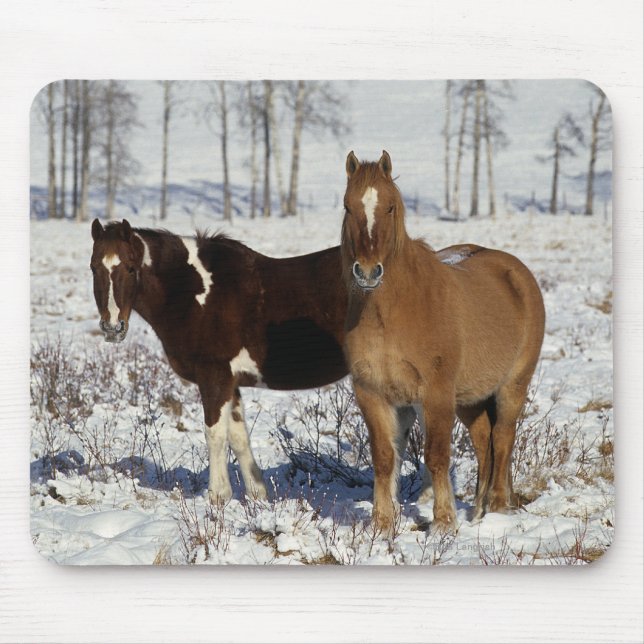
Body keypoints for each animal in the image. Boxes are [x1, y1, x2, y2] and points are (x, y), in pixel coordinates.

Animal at [341, 151, 545, 534]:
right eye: (348, 206)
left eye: (390, 207)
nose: (368, 272)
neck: (393, 312)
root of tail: (516, 272)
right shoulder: (372, 392)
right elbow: (384, 457)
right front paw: (381, 524)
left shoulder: (435, 394)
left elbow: (436, 455)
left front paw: (444, 523)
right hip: (469, 398)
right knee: (483, 440)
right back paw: (478, 510)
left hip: (512, 385)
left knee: (503, 437)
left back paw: (497, 508)